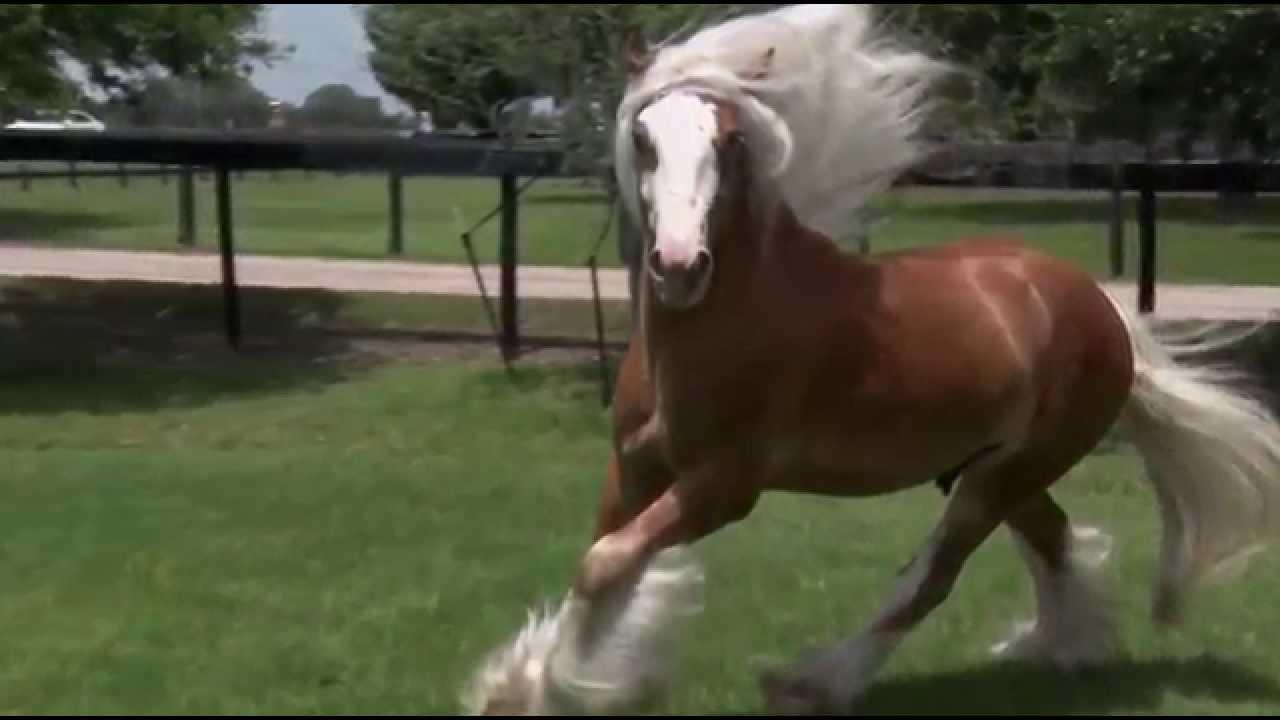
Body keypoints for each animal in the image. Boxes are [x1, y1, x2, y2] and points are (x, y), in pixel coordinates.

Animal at [462, 5, 1280, 715]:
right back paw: (1061, 650)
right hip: (995, 468)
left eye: (729, 140)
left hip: (999, 477)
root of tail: (1102, 310)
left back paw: (814, 683)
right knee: (1052, 541)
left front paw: (566, 683)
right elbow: (601, 561)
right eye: (643, 136)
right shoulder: (634, 467)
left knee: (932, 579)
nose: (680, 266)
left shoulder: (724, 486)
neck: (719, 323)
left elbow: (606, 563)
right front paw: (523, 688)